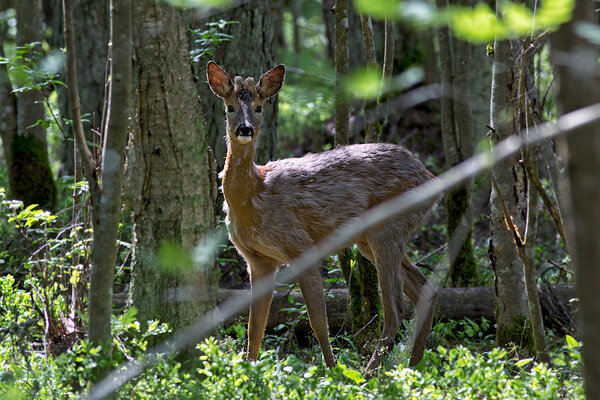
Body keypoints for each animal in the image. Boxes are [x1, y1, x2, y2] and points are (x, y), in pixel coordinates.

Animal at [205, 61, 436, 370]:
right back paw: (413, 366)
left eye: (259, 106)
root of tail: (430, 178)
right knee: (426, 289)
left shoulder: (301, 246)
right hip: (371, 239)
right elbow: (255, 328)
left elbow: (318, 322)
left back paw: (370, 372)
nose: (245, 128)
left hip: (388, 229)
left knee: (396, 310)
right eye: (229, 107)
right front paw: (250, 372)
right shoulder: (258, 260)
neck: (254, 195)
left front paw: (332, 370)